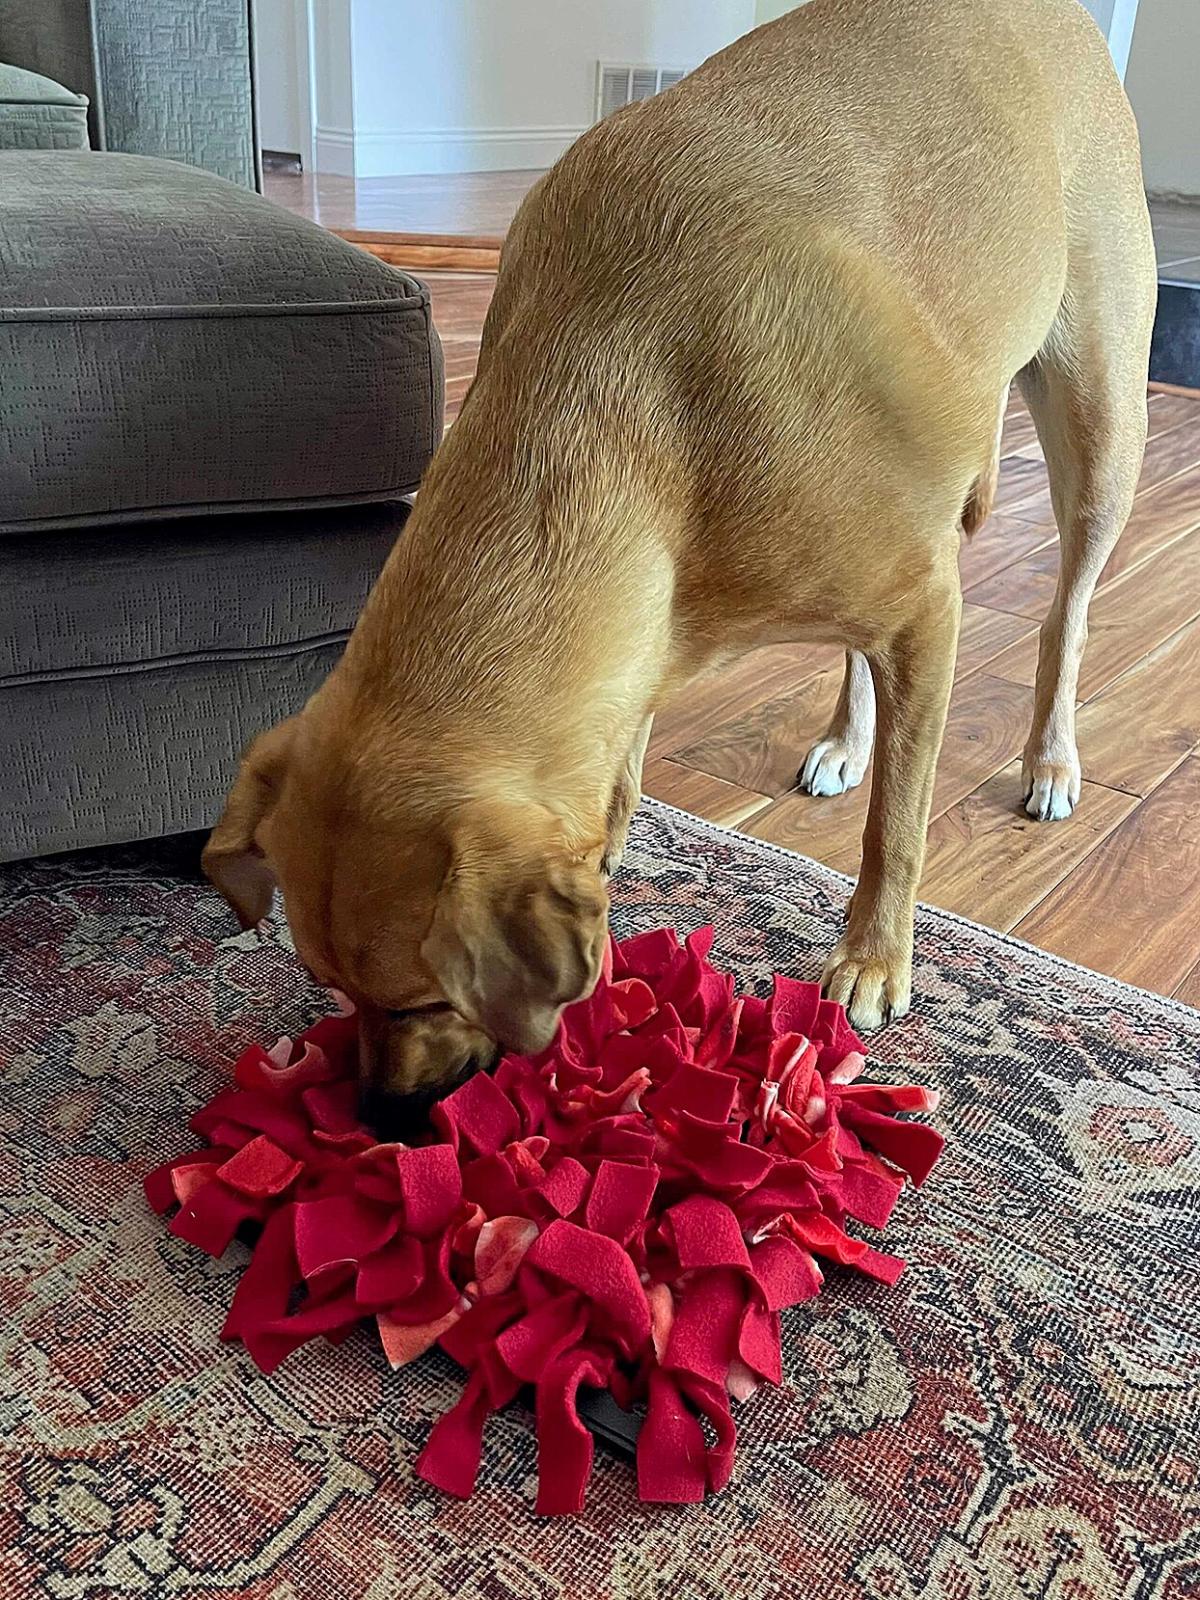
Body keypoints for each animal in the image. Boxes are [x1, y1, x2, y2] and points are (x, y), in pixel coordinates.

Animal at [202, 0, 1158, 1132]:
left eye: (427, 999)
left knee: (1067, 615)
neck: (622, 394)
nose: (382, 1120)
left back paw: (1049, 759)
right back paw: (848, 738)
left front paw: (875, 958)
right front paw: (614, 831)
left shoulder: (928, 607)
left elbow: (900, 824)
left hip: (1099, 424)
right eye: (334, 990)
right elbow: (632, 732)